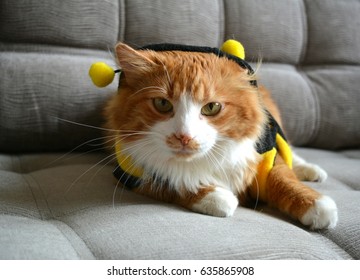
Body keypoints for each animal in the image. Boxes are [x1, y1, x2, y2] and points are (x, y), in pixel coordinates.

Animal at [103, 42, 338, 230]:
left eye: (212, 107)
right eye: (162, 104)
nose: (184, 137)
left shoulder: (264, 158)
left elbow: (284, 179)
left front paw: (317, 206)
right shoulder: (130, 172)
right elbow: (174, 183)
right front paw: (217, 197)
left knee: (291, 153)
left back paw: (311, 170)